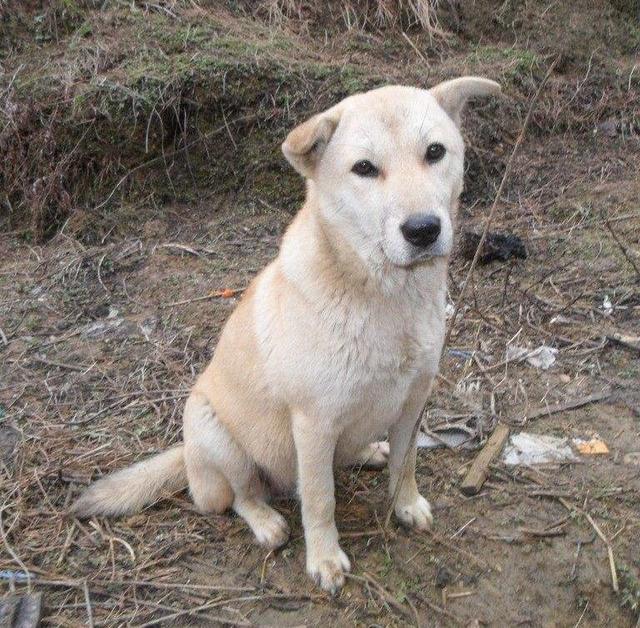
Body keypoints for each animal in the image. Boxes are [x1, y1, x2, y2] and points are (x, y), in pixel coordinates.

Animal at [70, 76, 500, 592]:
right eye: (364, 168)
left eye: (435, 152)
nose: (423, 230)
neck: (385, 298)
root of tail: (186, 458)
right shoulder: (313, 424)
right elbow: (319, 499)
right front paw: (325, 559)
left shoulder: (414, 402)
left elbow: (406, 464)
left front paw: (406, 506)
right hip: (219, 438)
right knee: (241, 496)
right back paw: (266, 522)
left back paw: (366, 452)